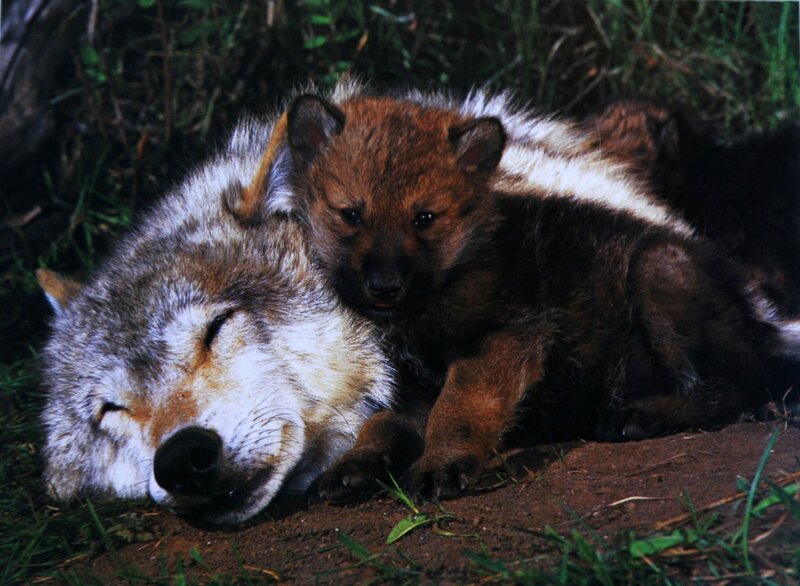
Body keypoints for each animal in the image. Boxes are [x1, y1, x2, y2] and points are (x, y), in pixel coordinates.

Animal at [276, 89, 800, 500]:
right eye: (351, 214)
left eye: (424, 217)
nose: (384, 287)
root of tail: (760, 321)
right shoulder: (409, 386)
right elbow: (380, 423)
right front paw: (353, 466)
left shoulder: (504, 339)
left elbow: (459, 407)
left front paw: (441, 465)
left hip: (659, 266)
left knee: (738, 383)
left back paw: (639, 414)